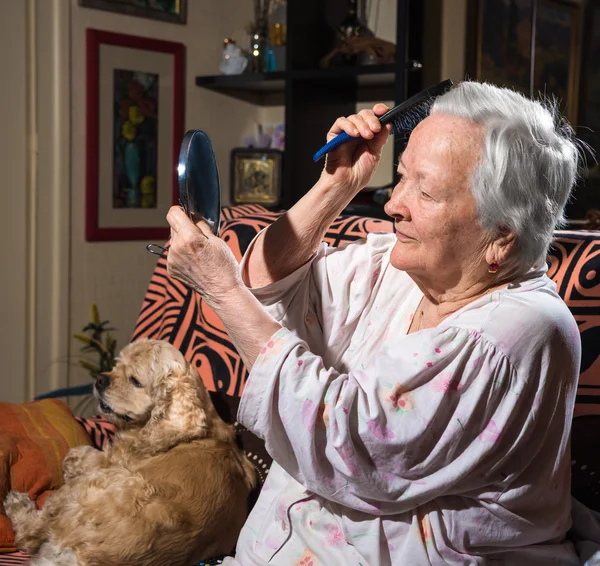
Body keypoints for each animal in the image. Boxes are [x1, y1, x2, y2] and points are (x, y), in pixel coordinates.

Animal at [3, 340, 255, 566]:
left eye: (135, 380)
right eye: (117, 364)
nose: (100, 379)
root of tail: (83, 556)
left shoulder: (112, 460)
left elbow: (86, 457)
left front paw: (76, 457)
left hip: (95, 484)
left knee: (30, 534)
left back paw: (17, 503)